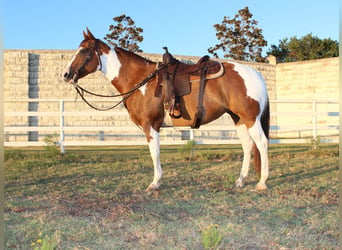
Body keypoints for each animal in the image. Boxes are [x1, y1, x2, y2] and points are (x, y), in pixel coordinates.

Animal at [62, 28, 270, 191]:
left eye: (84, 50)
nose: (66, 74)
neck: (141, 80)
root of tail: (255, 75)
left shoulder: (151, 125)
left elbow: (155, 153)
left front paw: (155, 183)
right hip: (239, 119)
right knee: (247, 146)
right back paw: (240, 181)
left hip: (250, 119)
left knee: (262, 143)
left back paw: (262, 182)